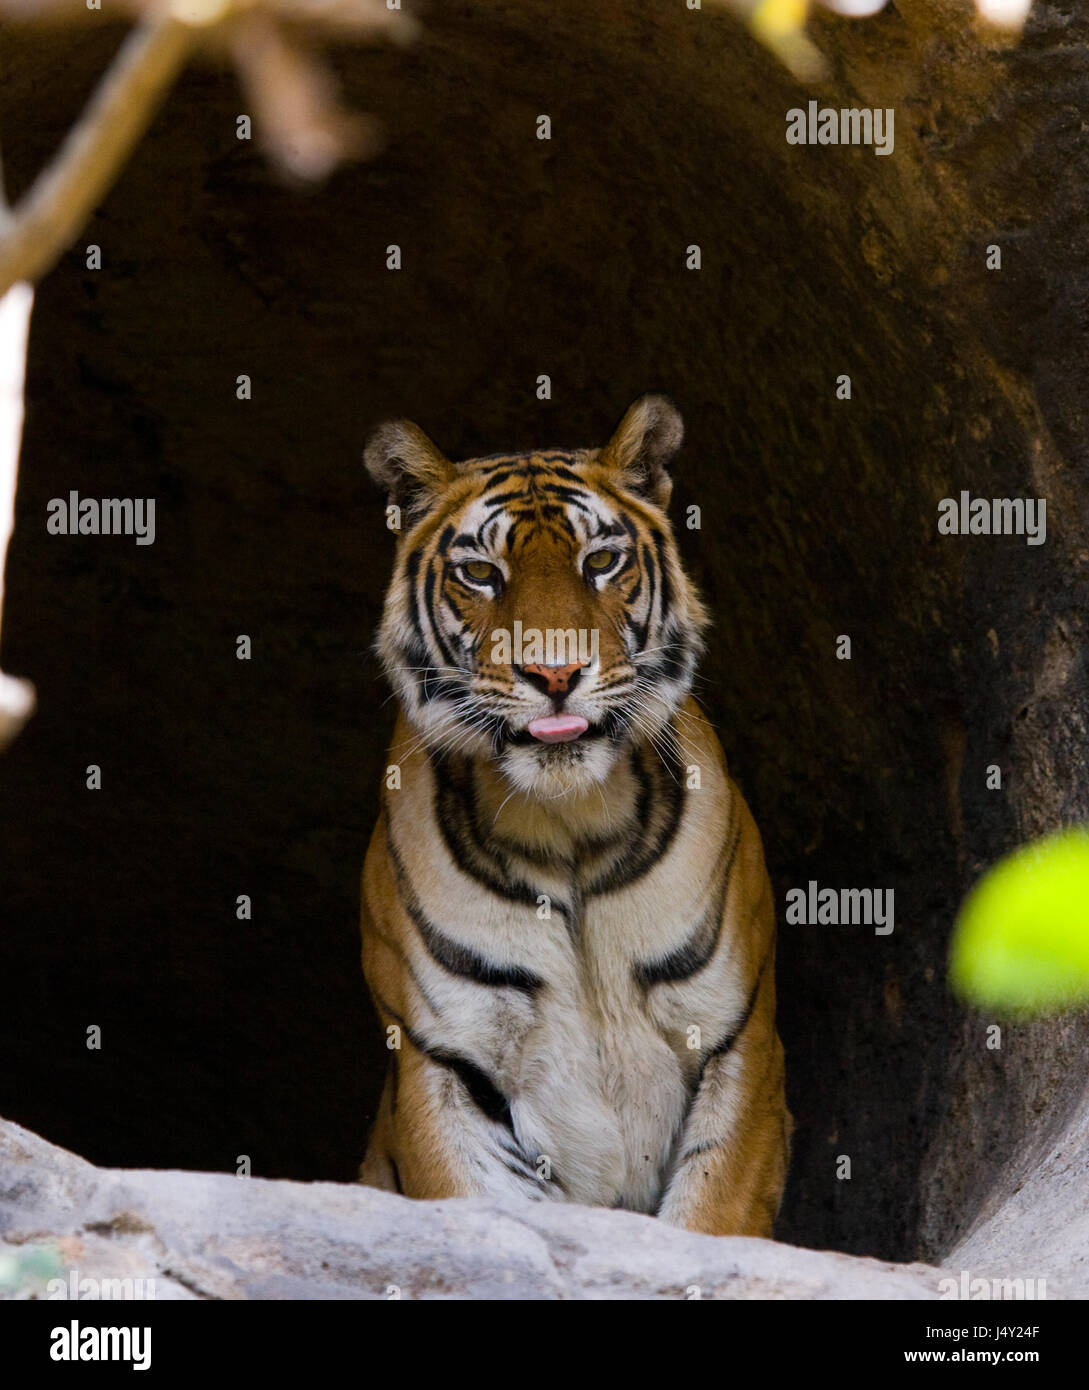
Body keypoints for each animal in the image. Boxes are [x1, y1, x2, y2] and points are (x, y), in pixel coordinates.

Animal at [358, 394, 789, 1239]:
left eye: (600, 562)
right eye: (481, 573)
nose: (553, 673)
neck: (566, 829)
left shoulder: (737, 1038)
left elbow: (710, 1215)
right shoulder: (443, 1059)